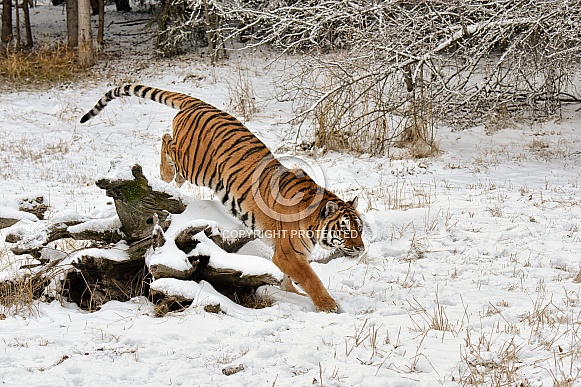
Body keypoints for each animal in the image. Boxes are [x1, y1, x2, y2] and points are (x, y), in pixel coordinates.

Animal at [80, 84, 364, 312]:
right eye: (344, 229)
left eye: (359, 229)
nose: (361, 248)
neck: (314, 220)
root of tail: (199, 103)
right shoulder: (288, 254)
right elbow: (311, 279)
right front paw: (329, 305)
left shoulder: (287, 254)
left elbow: (290, 278)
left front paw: (291, 293)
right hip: (195, 165)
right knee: (166, 139)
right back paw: (165, 174)